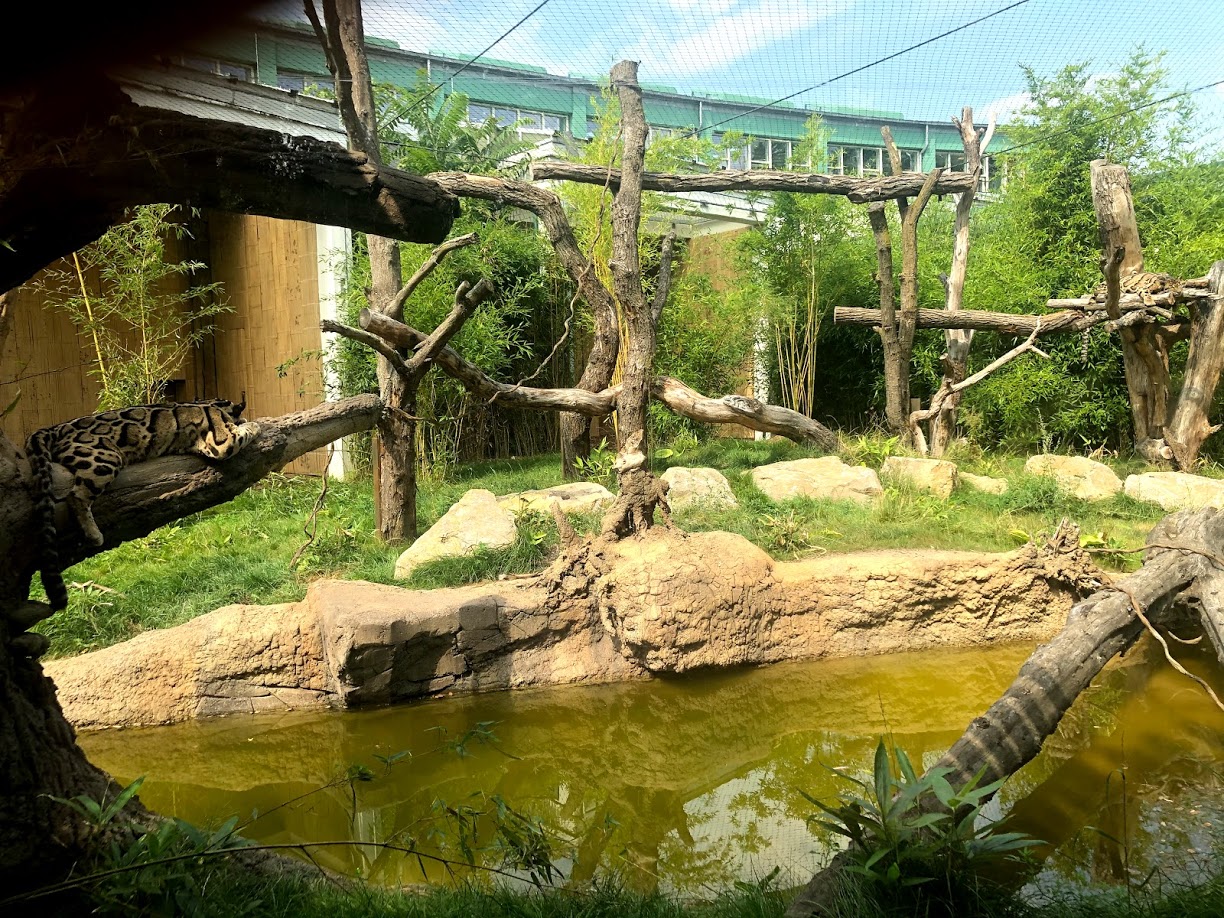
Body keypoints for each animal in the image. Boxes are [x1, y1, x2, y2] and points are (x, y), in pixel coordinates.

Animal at [25, 398, 261, 610]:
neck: (215, 404)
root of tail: (55, 427)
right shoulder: (222, 441)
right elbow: (241, 433)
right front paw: (252, 424)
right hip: (103, 458)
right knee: (77, 495)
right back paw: (94, 534)